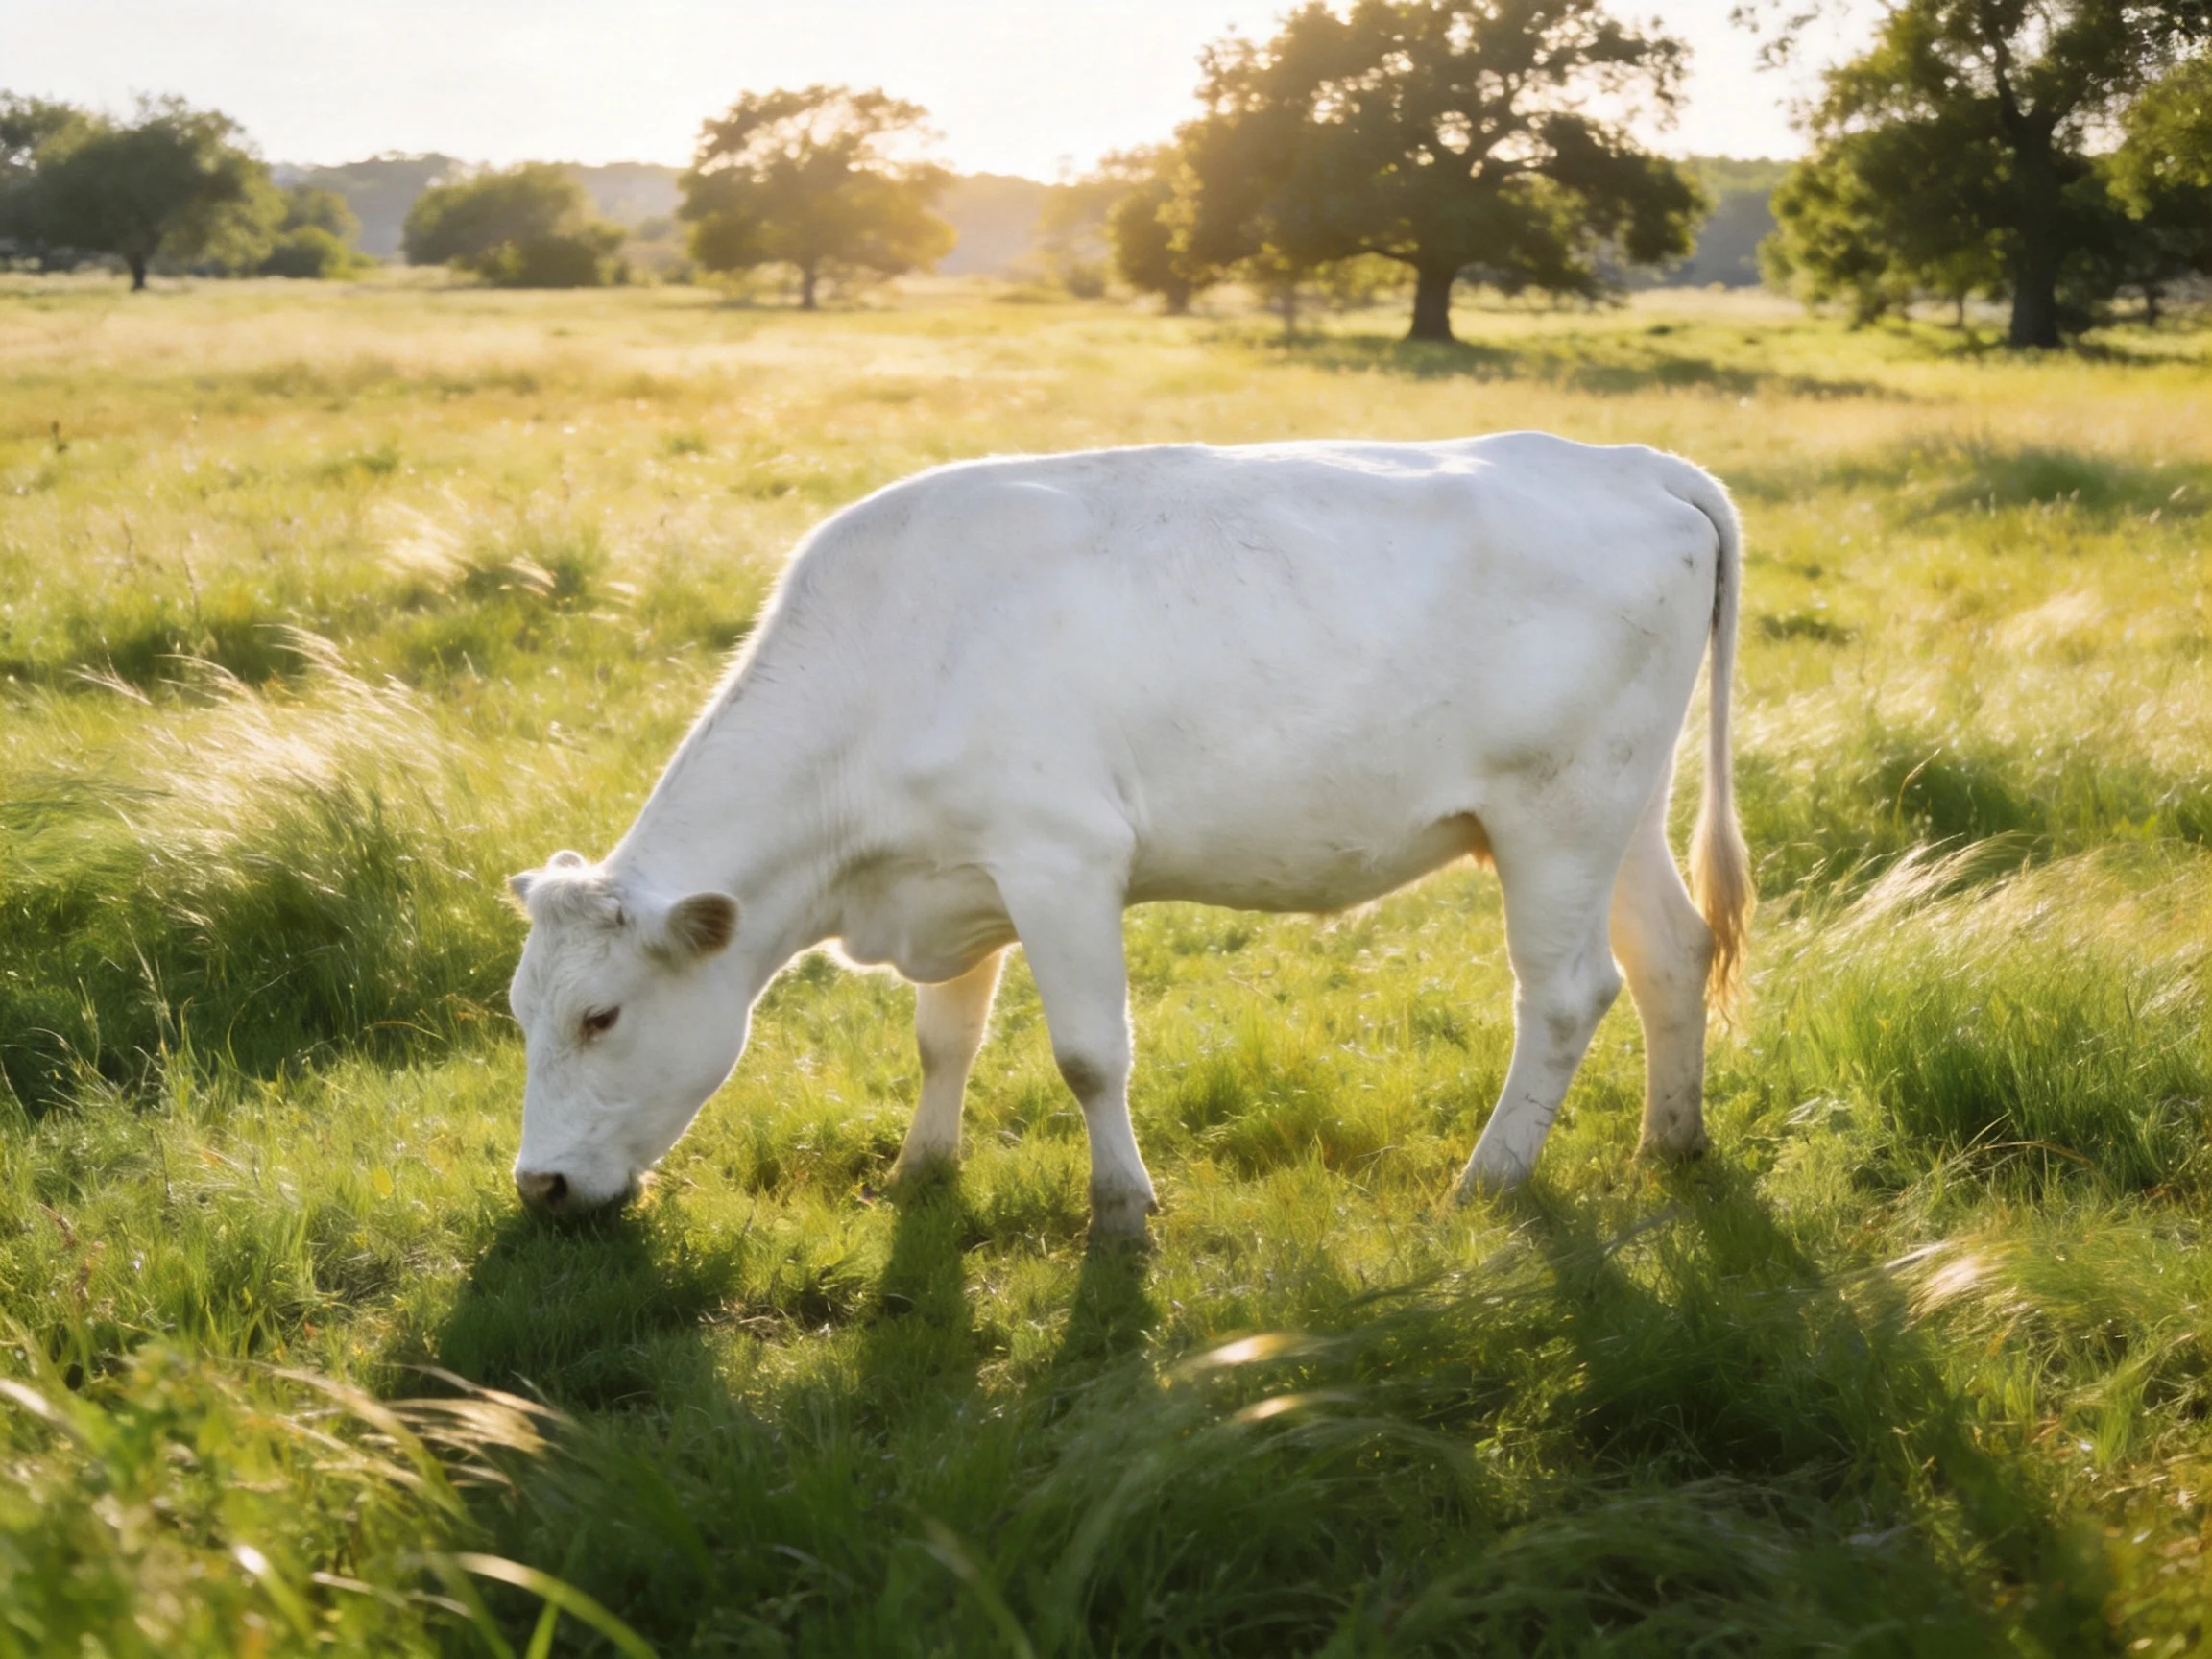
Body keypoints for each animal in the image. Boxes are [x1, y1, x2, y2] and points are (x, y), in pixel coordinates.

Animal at [503, 432, 1753, 1238]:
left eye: (601, 1016)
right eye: (519, 1013)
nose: (538, 1187)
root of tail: (1634, 462)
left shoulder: (1061, 860)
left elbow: (1088, 1054)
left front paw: (1120, 1210)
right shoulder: (958, 873)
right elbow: (944, 1039)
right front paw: (920, 1171)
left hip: (1556, 811)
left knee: (1566, 993)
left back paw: (1487, 1181)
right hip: (1621, 804)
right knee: (1669, 952)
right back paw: (1673, 1141)